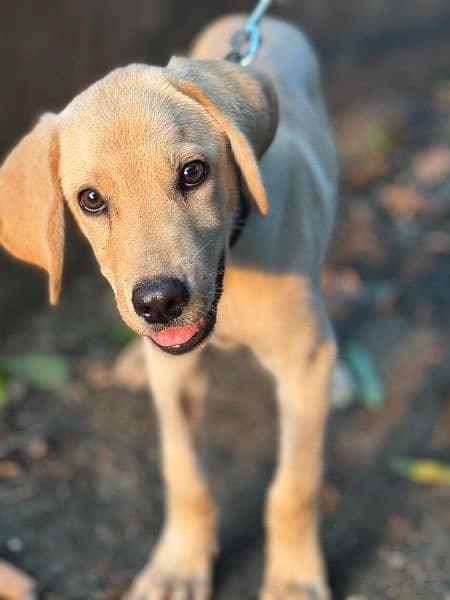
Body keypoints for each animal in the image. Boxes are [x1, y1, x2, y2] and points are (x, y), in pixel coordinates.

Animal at [0, 12, 338, 600]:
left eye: (193, 173)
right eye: (91, 200)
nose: (159, 303)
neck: (233, 263)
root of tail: (253, 19)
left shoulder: (301, 365)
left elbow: (294, 485)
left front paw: (294, 577)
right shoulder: (176, 378)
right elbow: (184, 476)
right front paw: (179, 565)